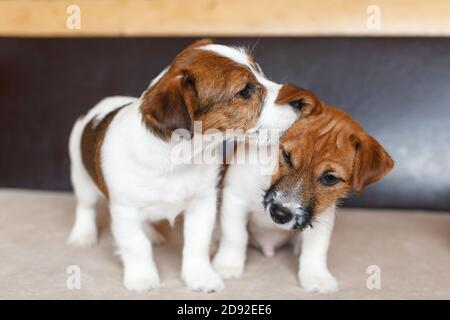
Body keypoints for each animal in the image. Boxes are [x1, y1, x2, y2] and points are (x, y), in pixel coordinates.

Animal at [67, 40, 304, 292]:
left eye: (258, 69)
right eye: (245, 91)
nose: (299, 102)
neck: (178, 159)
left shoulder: (202, 203)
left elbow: (196, 244)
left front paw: (200, 276)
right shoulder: (125, 211)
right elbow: (136, 246)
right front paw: (142, 278)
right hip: (81, 179)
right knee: (86, 207)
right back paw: (83, 235)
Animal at [213, 90, 392, 292]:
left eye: (330, 178)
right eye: (286, 156)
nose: (280, 214)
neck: (268, 178)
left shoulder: (322, 216)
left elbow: (316, 249)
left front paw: (316, 276)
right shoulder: (235, 198)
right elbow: (235, 236)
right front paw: (227, 264)